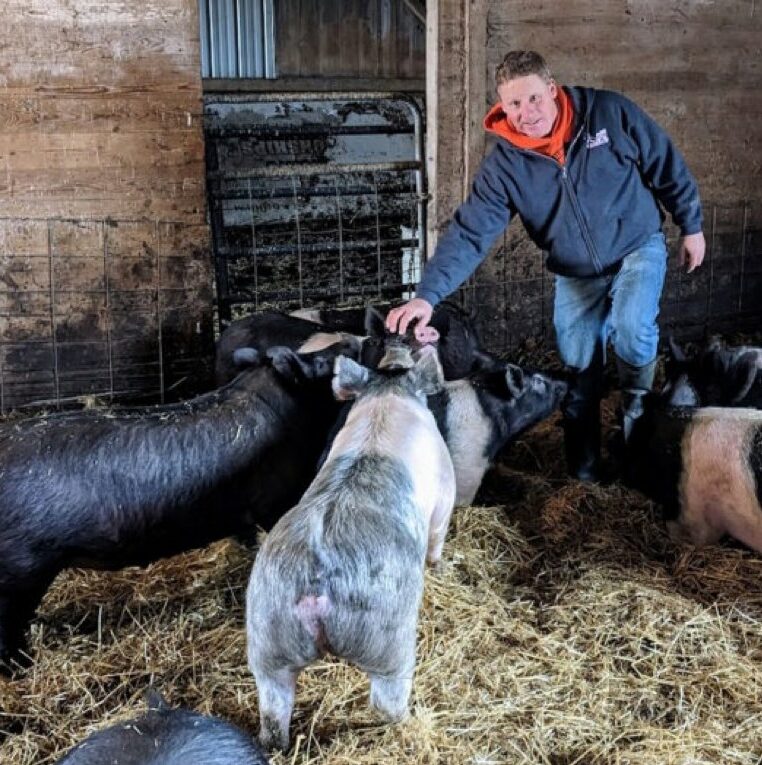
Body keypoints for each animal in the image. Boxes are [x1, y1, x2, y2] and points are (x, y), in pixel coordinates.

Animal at [246, 345, 455, 751]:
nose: (396, 349)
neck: (386, 395)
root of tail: (316, 584)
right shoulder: (445, 492)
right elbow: (439, 533)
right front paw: (439, 566)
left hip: (267, 635)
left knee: (273, 712)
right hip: (388, 637)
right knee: (387, 701)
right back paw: (411, 721)